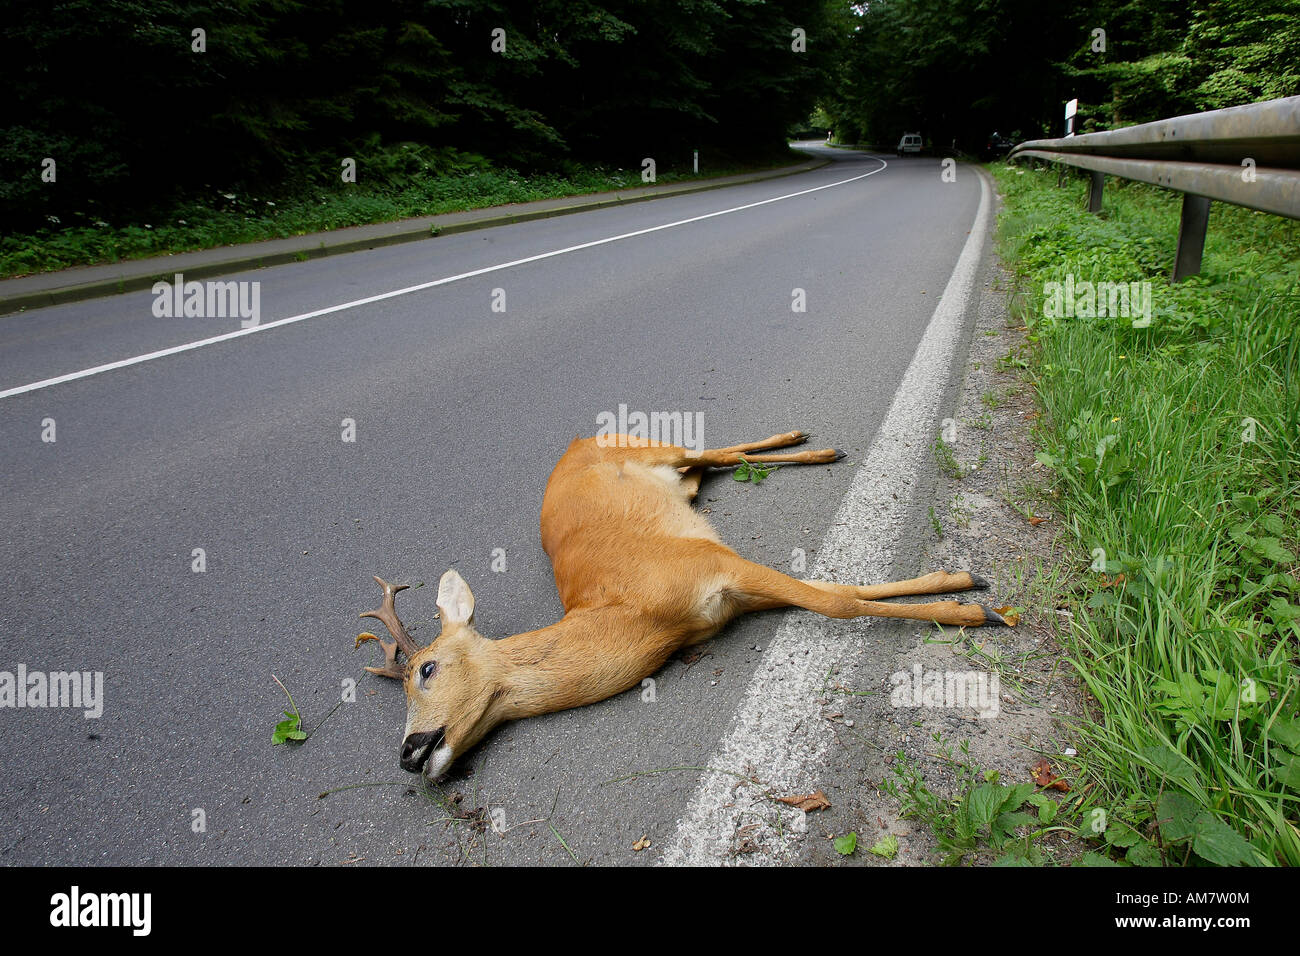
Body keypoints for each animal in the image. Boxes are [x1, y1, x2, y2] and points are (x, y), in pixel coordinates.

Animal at [356, 429, 1003, 780]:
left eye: (426, 669)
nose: (408, 754)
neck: (641, 618)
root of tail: (579, 438)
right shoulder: (732, 599)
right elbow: (842, 593)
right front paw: (963, 586)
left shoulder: (714, 562)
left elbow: (836, 602)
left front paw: (975, 607)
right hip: (683, 479)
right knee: (721, 460)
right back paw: (810, 447)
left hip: (652, 448)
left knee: (715, 450)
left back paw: (814, 447)